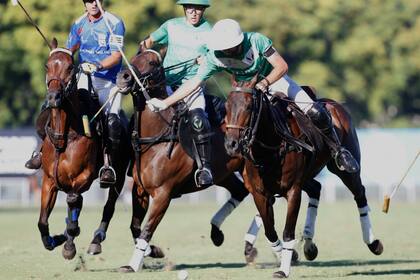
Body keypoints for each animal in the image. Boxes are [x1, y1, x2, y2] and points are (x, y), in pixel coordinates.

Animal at [37, 38, 130, 258]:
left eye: (70, 67)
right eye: (47, 65)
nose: (53, 97)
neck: (64, 136)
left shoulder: (84, 177)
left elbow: (73, 203)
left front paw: (68, 240)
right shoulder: (49, 180)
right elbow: (43, 222)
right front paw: (55, 239)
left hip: (120, 176)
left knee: (108, 207)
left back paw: (95, 240)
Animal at [115, 49, 268, 272]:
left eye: (152, 63)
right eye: (134, 56)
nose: (123, 77)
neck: (158, 135)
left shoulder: (163, 194)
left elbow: (147, 228)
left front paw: (133, 265)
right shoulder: (139, 189)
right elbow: (135, 226)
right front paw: (154, 251)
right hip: (223, 174)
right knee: (241, 191)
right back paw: (218, 233)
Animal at [225, 76, 382, 278]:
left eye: (249, 106)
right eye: (227, 106)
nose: (231, 144)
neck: (269, 148)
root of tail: (332, 103)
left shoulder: (293, 190)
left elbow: (287, 232)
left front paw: (283, 270)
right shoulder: (260, 193)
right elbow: (270, 231)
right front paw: (290, 255)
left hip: (344, 167)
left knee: (359, 193)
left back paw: (373, 243)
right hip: (307, 176)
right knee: (316, 188)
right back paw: (309, 245)